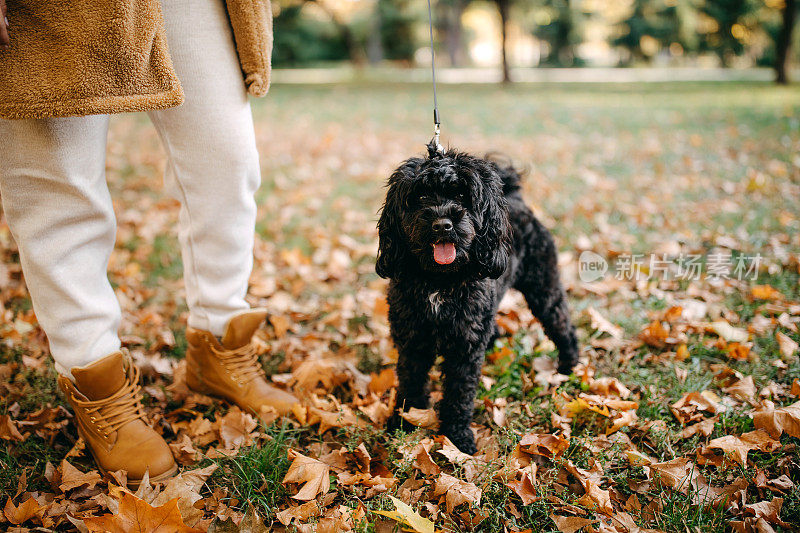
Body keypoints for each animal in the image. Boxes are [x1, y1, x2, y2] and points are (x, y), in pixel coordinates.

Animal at [378, 142, 580, 454]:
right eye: (420, 196)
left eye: (462, 196)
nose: (442, 224)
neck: (440, 281)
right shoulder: (412, 341)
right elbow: (411, 382)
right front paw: (405, 421)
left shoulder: (465, 349)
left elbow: (460, 395)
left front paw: (457, 437)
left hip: (543, 287)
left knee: (562, 324)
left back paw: (569, 367)